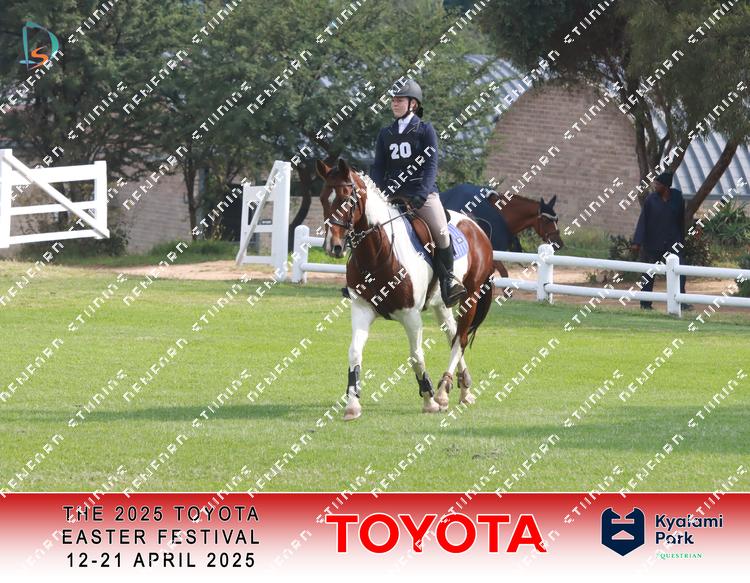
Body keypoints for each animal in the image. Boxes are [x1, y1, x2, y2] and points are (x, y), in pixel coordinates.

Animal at [316, 159, 495, 420]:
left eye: (347, 198)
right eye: (322, 199)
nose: (334, 246)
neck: (378, 254)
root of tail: (477, 227)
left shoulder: (411, 315)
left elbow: (416, 356)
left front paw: (429, 399)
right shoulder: (362, 309)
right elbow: (354, 353)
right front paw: (352, 404)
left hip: (470, 297)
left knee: (460, 340)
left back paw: (443, 391)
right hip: (442, 304)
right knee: (452, 334)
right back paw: (464, 389)